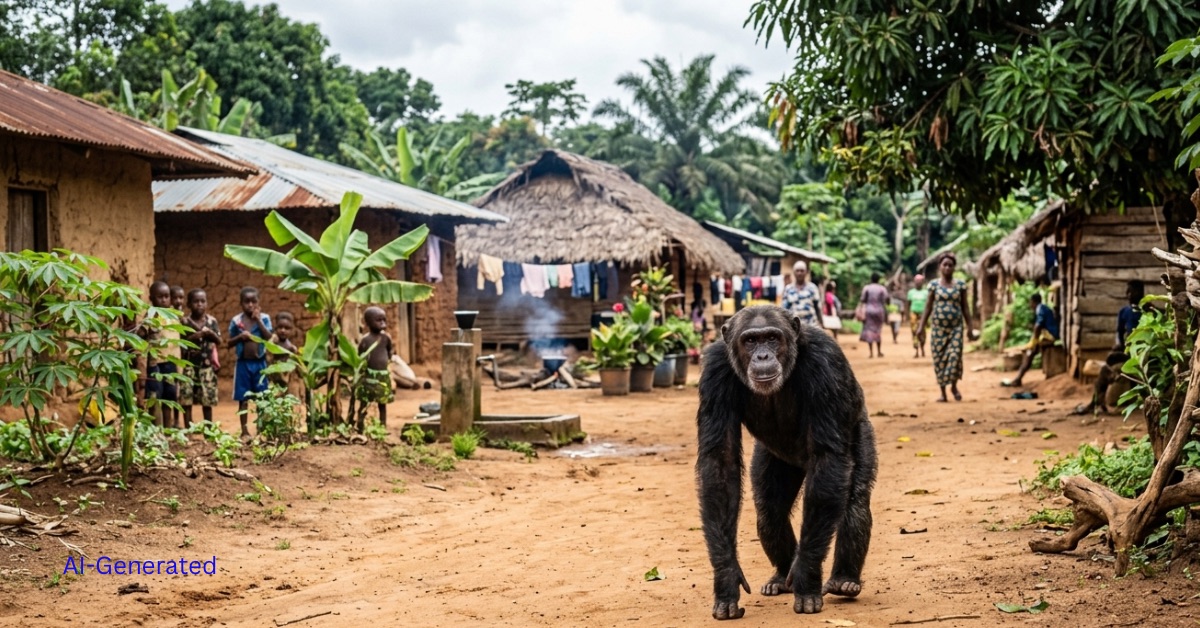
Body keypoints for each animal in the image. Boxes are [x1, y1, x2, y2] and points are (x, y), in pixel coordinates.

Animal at [695, 305, 877, 619]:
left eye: (772, 338)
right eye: (750, 341)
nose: (762, 356)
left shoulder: (825, 362)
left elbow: (828, 456)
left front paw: (806, 575)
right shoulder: (715, 371)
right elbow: (720, 461)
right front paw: (727, 579)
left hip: (861, 432)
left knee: (854, 503)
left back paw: (843, 580)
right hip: (774, 459)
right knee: (770, 512)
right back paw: (782, 576)